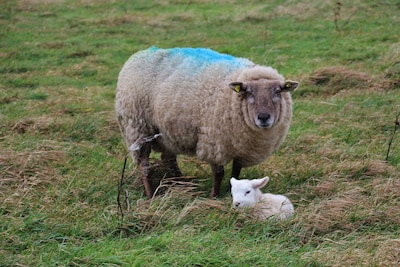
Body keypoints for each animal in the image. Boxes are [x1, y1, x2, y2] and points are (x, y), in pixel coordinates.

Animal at [114, 47, 298, 199]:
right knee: (144, 165)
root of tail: (137, 55)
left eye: (277, 91)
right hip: (138, 129)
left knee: (169, 159)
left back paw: (181, 183)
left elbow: (236, 170)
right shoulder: (214, 142)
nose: (264, 117)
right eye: (248, 92)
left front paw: (232, 190)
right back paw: (150, 194)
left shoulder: (242, 147)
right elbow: (219, 172)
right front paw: (214, 196)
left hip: (166, 133)